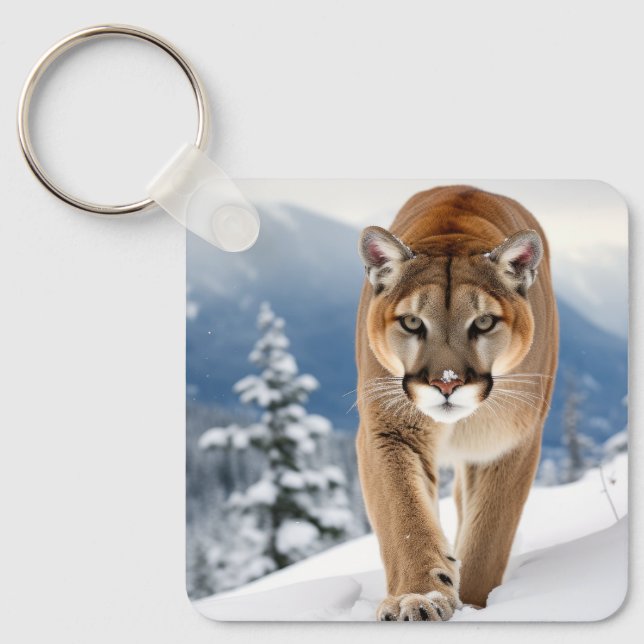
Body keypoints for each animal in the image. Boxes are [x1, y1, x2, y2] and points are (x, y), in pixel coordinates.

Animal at [355, 185, 558, 621]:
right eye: (412, 322)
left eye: (483, 322)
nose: (445, 384)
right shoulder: (389, 430)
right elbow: (405, 517)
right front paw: (417, 597)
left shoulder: (508, 442)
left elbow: (488, 535)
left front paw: (477, 605)